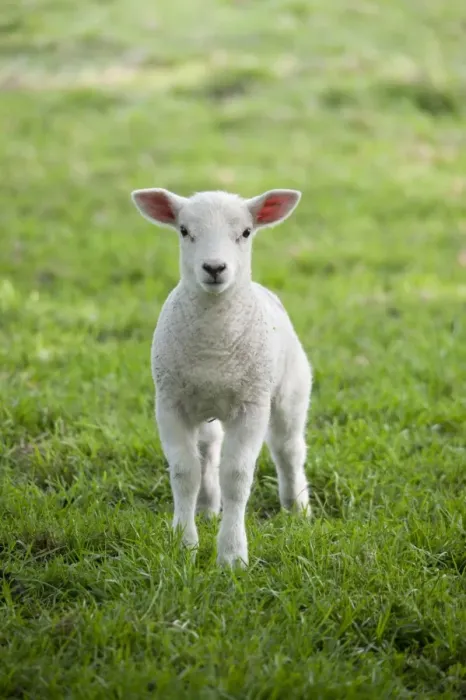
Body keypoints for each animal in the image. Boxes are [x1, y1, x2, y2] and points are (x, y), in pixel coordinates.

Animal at [131, 187, 312, 566]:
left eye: (245, 232)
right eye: (184, 231)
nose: (214, 268)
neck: (213, 347)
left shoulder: (251, 406)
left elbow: (237, 477)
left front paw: (231, 556)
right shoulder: (169, 403)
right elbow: (185, 472)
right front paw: (183, 544)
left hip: (290, 391)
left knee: (288, 449)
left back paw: (297, 507)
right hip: (204, 404)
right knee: (208, 451)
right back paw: (207, 507)